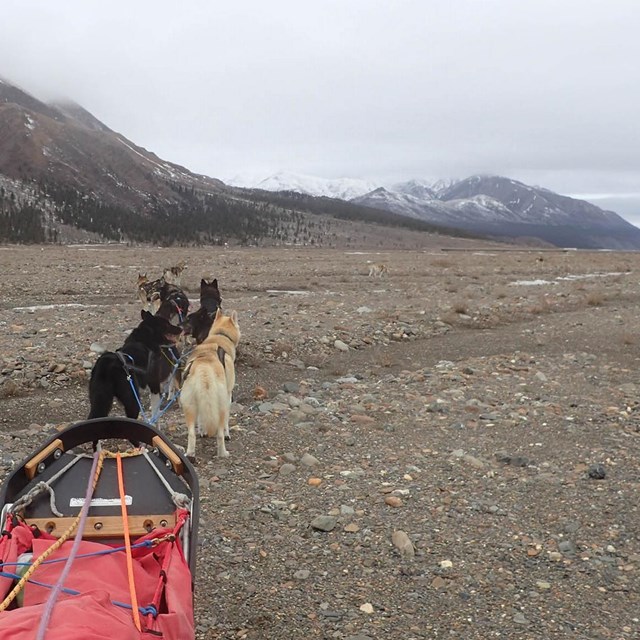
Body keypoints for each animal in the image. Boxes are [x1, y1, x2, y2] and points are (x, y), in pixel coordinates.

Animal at [179, 310, 241, 460]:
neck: (219, 336)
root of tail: (204, 369)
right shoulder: (228, 395)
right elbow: (226, 423)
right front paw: (227, 433)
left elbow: (202, 419)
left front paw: (202, 430)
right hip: (221, 404)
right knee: (219, 434)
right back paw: (223, 453)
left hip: (189, 406)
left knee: (191, 434)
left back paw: (190, 453)